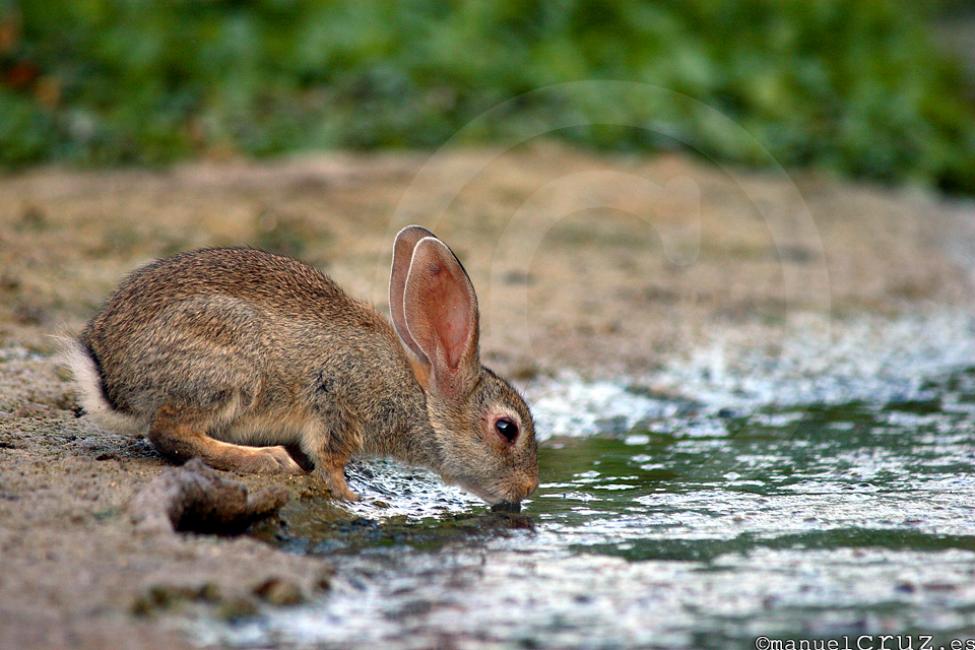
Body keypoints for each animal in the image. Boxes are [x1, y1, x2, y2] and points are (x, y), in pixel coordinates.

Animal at [66, 225, 540, 504]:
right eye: (506, 428)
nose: (530, 487)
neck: (420, 398)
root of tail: (109, 374)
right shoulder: (337, 399)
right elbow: (328, 454)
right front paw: (352, 495)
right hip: (229, 369)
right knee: (169, 432)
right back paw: (268, 460)